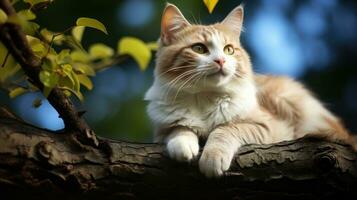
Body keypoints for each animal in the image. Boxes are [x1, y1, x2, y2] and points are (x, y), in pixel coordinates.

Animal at [143, 3, 352, 178]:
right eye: (199, 49)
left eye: (228, 50)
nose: (220, 61)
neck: (205, 97)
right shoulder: (162, 129)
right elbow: (178, 128)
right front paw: (183, 145)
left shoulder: (266, 126)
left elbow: (226, 129)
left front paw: (213, 157)